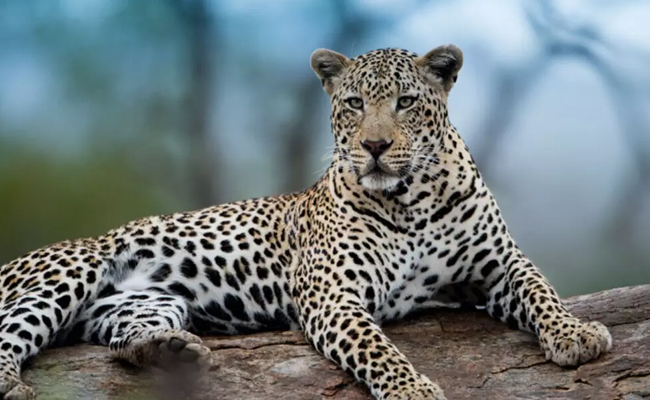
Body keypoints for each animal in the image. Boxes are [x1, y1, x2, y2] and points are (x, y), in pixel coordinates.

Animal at [0, 44, 612, 400]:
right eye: (355, 103)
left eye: (406, 102)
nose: (374, 146)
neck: (412, 199)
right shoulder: (331, 293)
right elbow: (376, 346)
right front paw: (412, 388)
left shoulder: (499, 265)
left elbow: (540, 288)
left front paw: (576, 334)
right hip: (70, 269)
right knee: (9, 336)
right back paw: (13, 384)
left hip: (143, 304)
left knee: (120, 341)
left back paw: (170, 351)